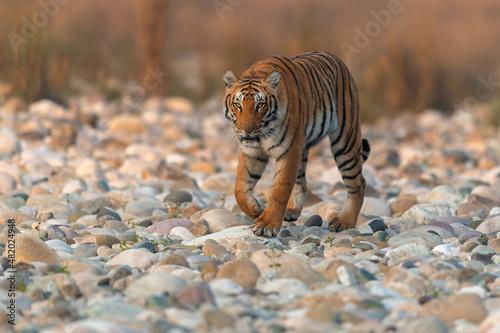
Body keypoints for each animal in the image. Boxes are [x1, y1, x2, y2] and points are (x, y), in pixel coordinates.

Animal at [225, 50, 370, 236]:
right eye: (238, 105)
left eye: (260, 105)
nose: (247, 130)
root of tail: (340, 62)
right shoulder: (252, 152)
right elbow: (239, 188)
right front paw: (256, 209)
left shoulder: (289, 150)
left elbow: (280, 188)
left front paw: (266, 224)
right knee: (302, 181)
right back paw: (292, 211)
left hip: (345, 142)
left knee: (358, 183)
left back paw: (344, 222)